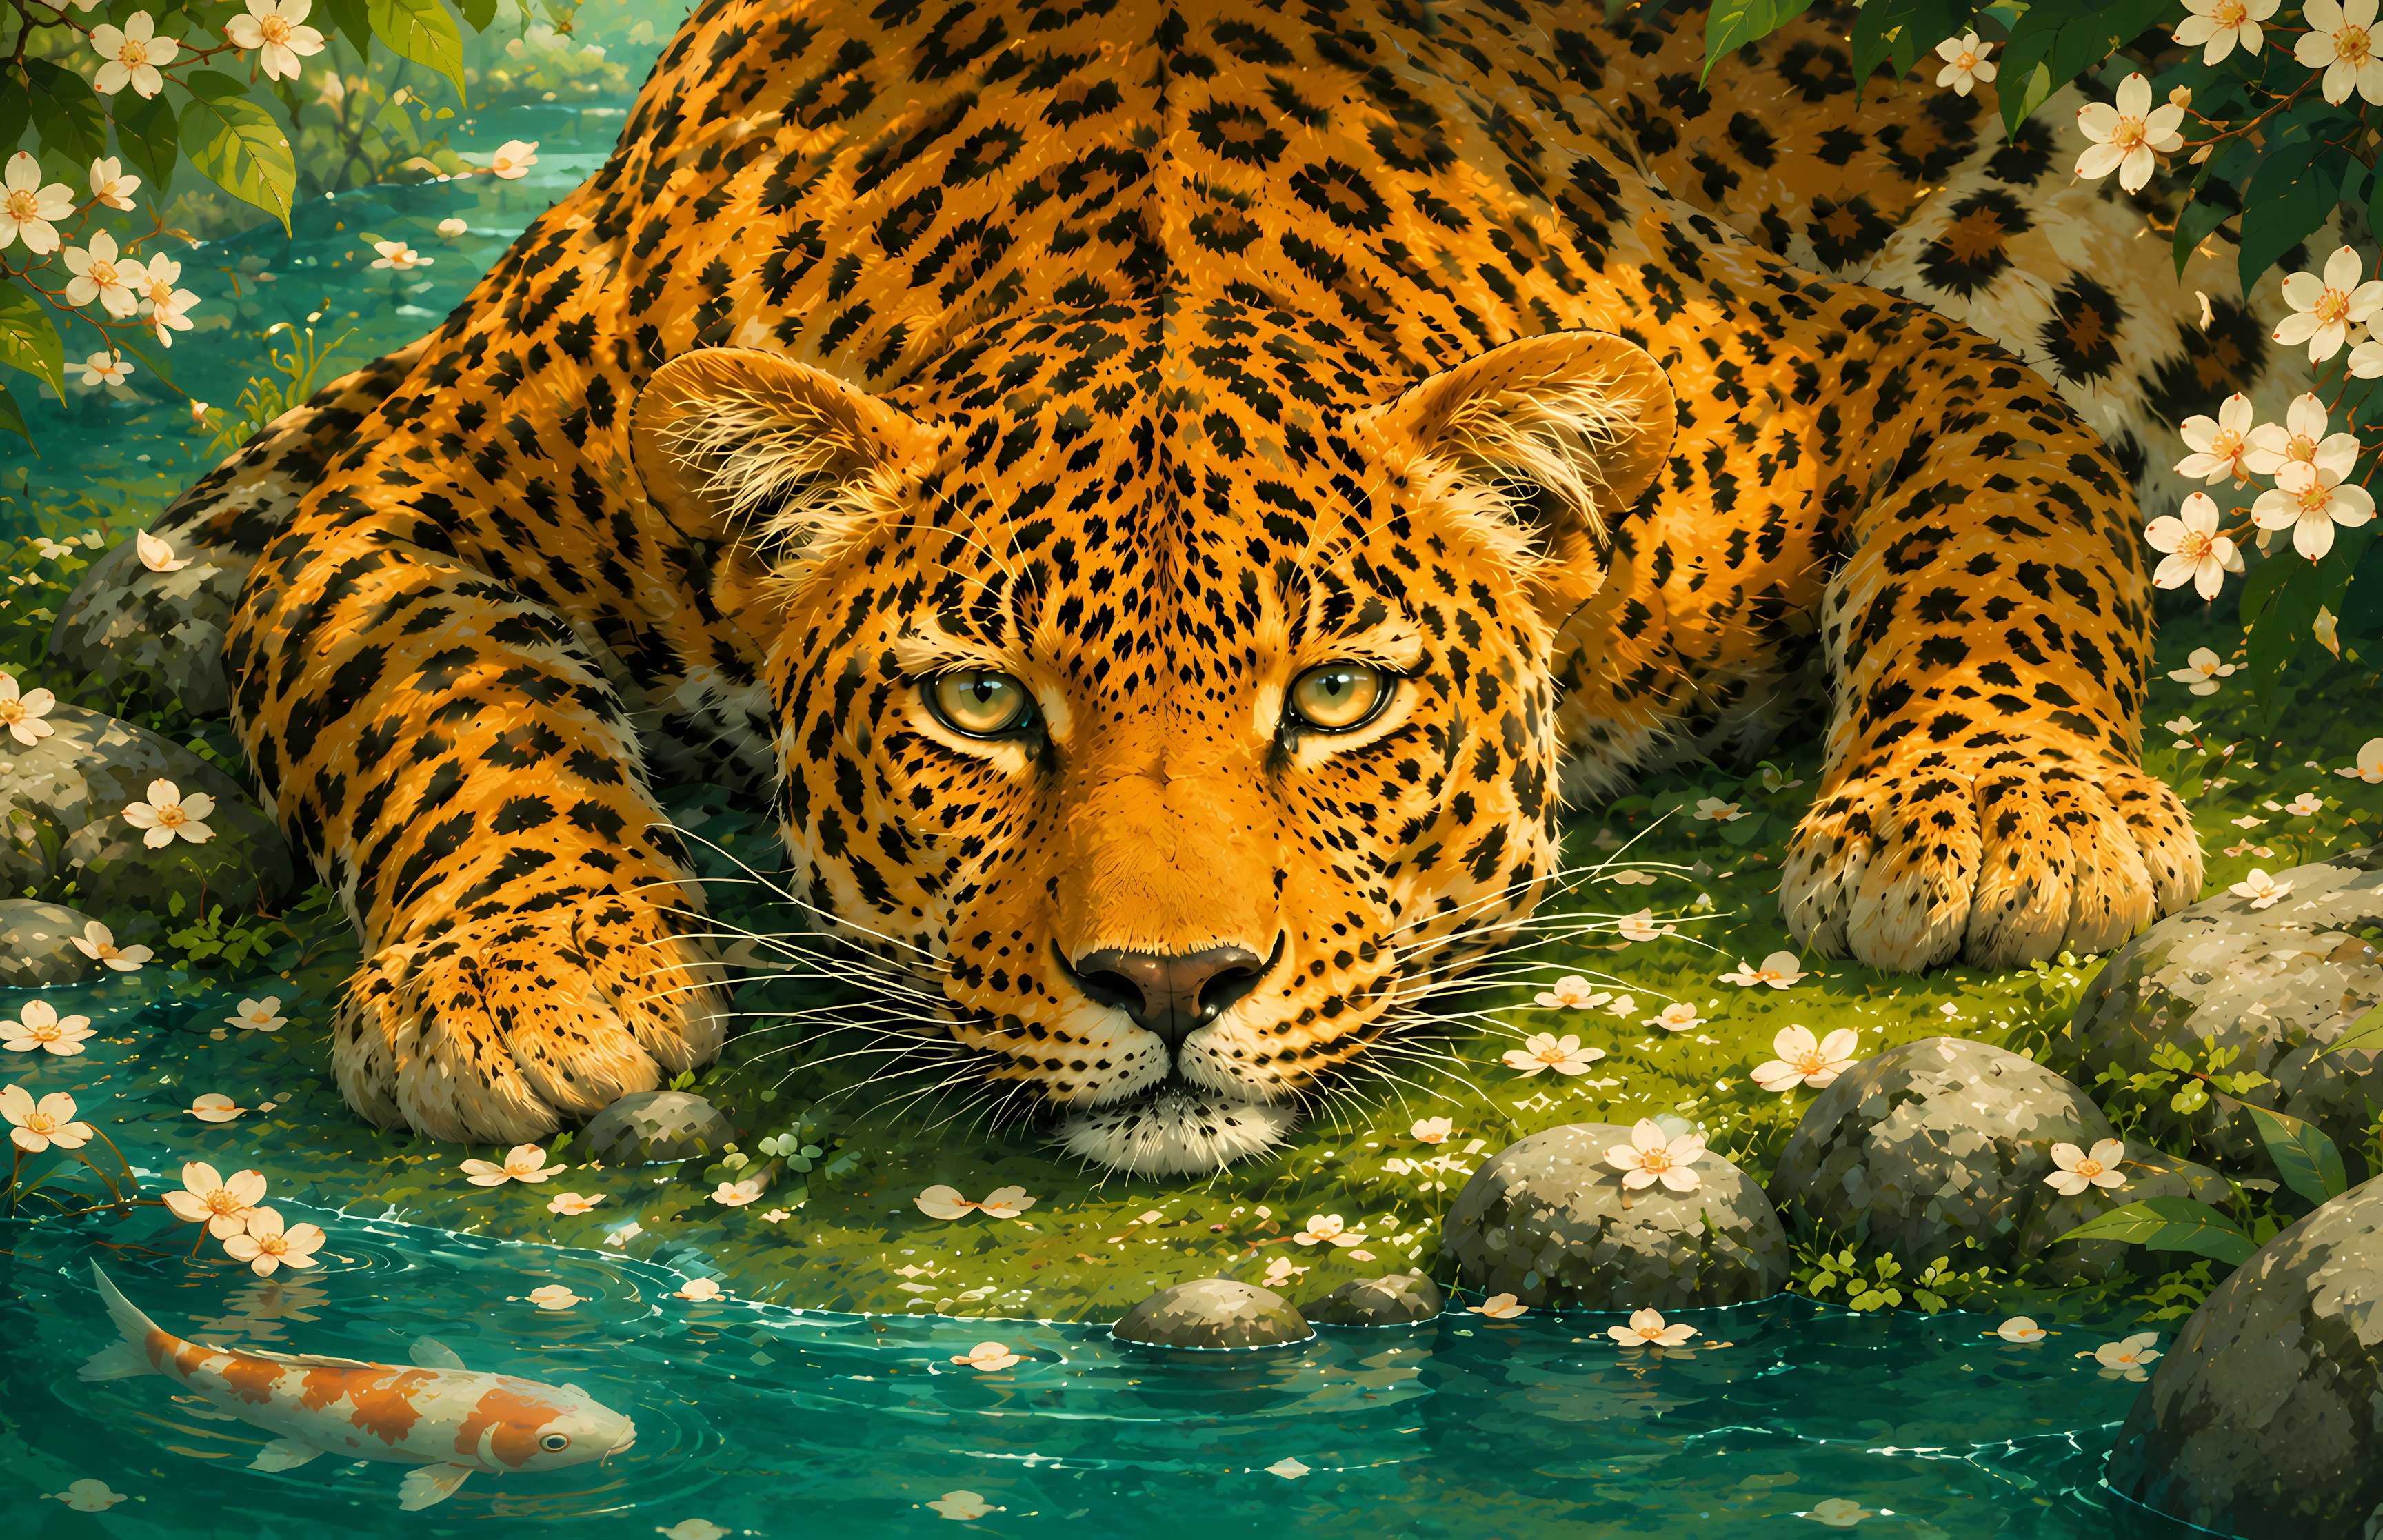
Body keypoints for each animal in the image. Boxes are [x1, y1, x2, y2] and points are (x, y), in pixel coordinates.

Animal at [131, 0, 2295, 1175]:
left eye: (1336, 698)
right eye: (978, 705)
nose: (1170, 988)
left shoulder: (1861, 369)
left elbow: (2000, 552)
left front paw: (2001, 822)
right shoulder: (424, 487)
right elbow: (445, 715)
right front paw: (525, 978)